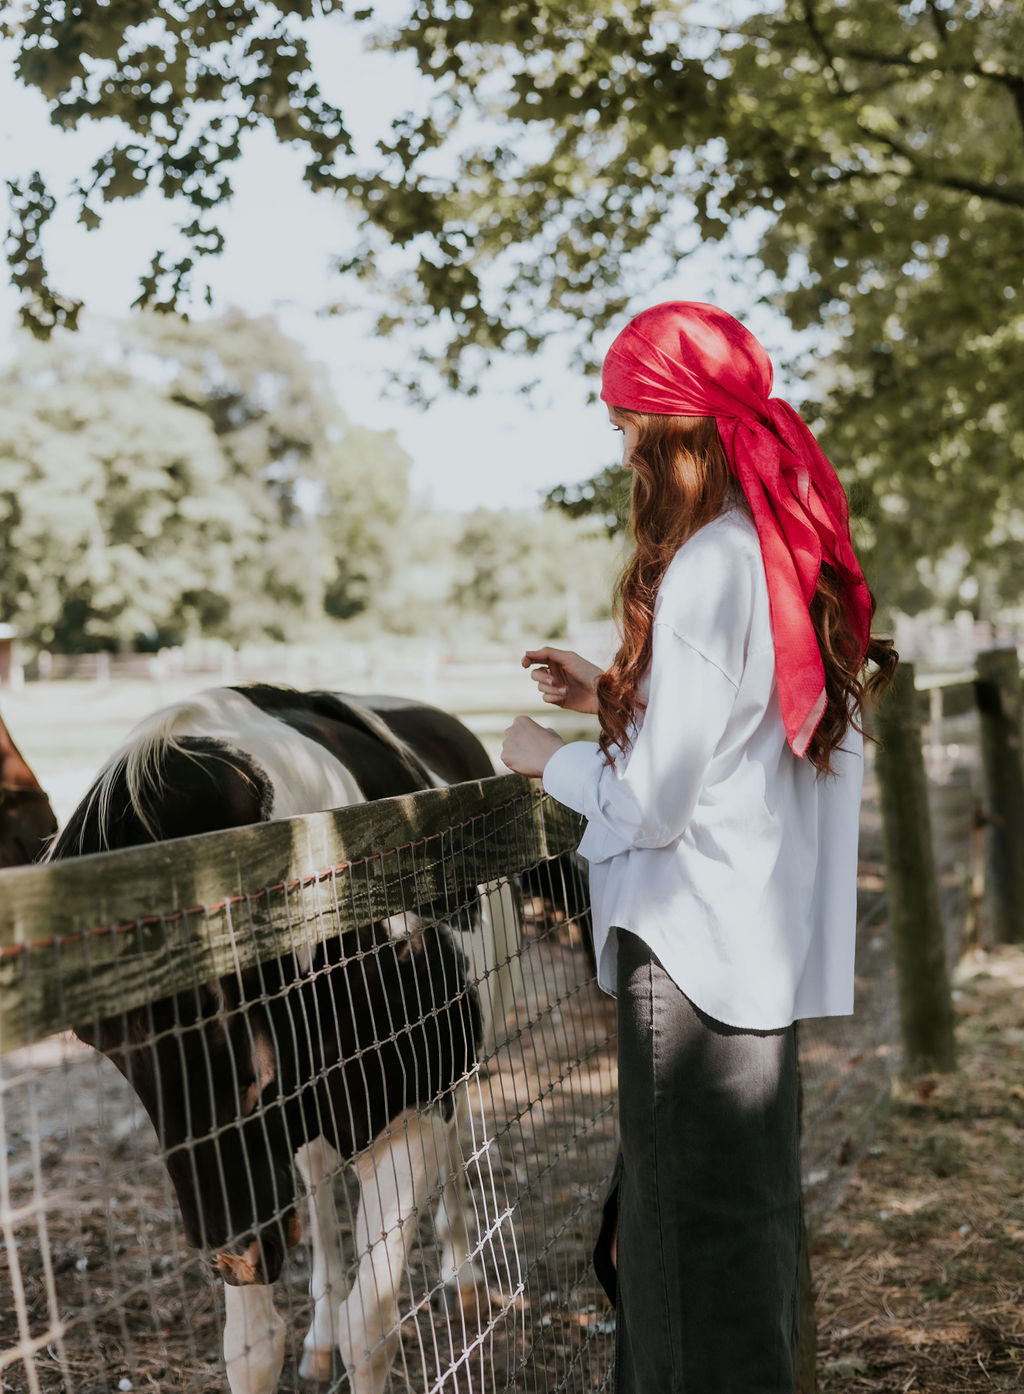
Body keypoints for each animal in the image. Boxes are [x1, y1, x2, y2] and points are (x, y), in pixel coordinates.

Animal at [50, 685, 521, 1394]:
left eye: (219, 1001)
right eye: (95, 1039)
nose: (235, 1255)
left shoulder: (411, 1122)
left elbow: (369, 1331)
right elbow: (251, 1348)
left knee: (455, 1150)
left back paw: (462, 1273)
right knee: (321, 1197)